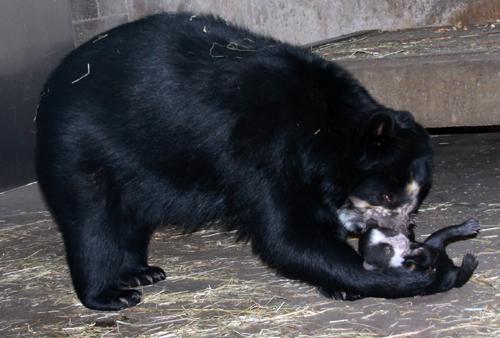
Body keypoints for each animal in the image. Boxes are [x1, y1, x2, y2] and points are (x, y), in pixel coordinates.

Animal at [37, 13, 438, 310]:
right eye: (386, 197)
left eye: (416, 201)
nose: (405, 237)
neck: (325, 125)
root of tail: (53, 84)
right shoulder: (263, 154)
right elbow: (287, 235)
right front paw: (396, 277)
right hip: (81, 146)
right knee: (92, 221)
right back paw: (110, 294)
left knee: (130, 219)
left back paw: (139, 272)